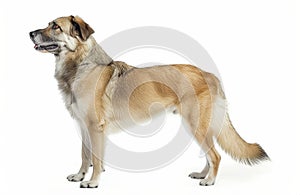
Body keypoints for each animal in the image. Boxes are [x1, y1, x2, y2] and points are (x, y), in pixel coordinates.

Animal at [29, 16, 270, 188]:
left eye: (55, 26)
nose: (30, 33)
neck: (79, 65)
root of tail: (209, 74)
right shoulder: (84, 127)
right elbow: (85, 155)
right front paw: (80, 176)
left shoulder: (94, 127)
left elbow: (95, 160)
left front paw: (93, 182)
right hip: (200, 126)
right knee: (210, 154)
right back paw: (202, 173)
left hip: (195, 124)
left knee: (216, 155)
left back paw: (209, 180)